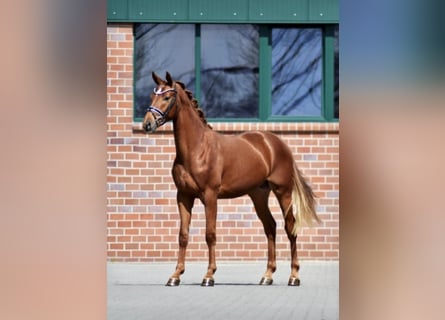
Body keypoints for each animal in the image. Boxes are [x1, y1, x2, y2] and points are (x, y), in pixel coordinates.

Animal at [142, 72, 320, 288]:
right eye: (152, 96)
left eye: (167, 97)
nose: (147, 124)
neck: (197, 149)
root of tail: (277, 143)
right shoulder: (183, 196)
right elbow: (183, 235)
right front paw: (175, 276)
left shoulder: (210, 196)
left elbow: (210, 234)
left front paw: (209, 276)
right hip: (258, 194)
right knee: (270, 227)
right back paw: (267, 276)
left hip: (283, 192)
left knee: (290, 227)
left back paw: (294, 276)